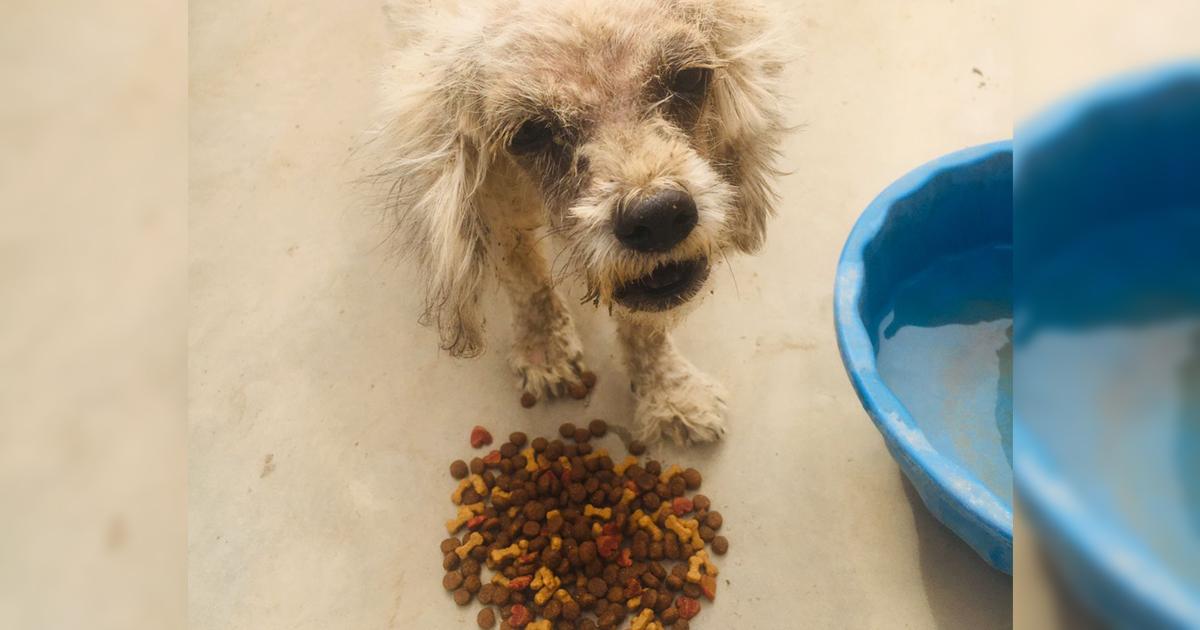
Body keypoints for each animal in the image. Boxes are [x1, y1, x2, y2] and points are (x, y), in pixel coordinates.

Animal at [367, 0, 787, 441]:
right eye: (530, 131)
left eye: (689, 78)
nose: (658, 217)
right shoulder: (497, 208)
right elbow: (528, 281)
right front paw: (545, 350)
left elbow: (646, 327)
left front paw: (671, 394)